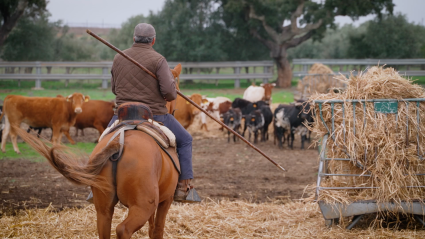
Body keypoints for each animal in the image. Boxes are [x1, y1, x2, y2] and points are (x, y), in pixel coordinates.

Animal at [14, 64, 184, 238]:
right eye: (176, 87)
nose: (174, 110)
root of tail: (119, 144)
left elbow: (151, 228)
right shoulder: (166, 199)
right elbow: (157, 229)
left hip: (104, 208)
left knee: (105, 227)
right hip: (143, 205)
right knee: (123, 229)